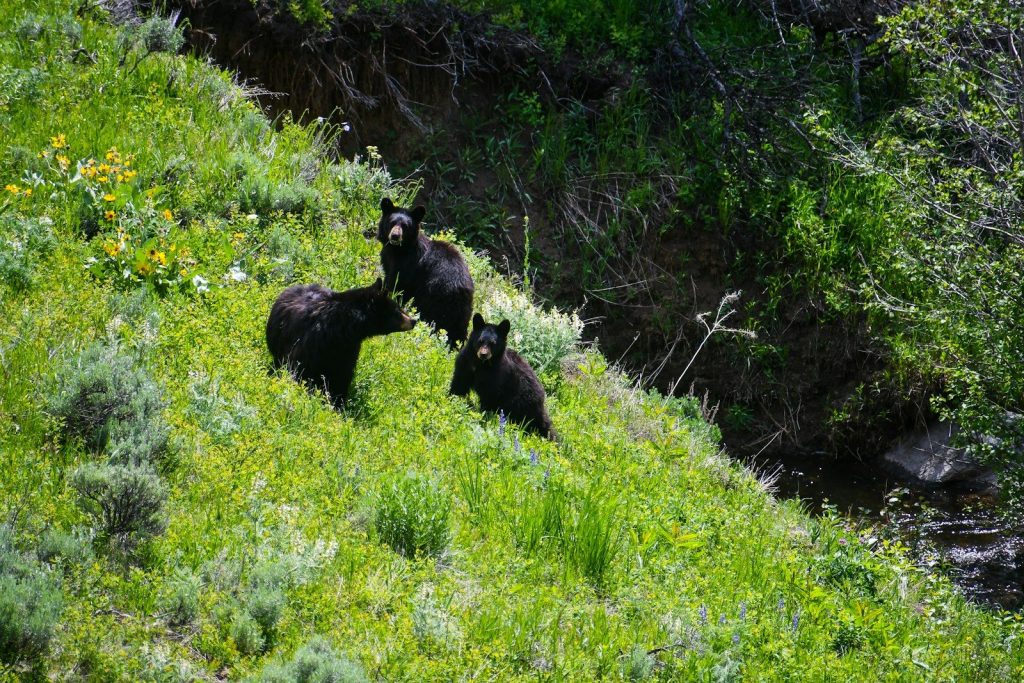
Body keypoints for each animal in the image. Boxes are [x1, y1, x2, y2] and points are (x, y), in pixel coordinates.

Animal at [266, 278, 416, 407]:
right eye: (396, 310)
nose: (413, 320)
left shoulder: (347, 350)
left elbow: (342, 376)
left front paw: (337, 404)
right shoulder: (311, 346)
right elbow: (301, 370)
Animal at [378, 197, 474, 348]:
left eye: (405, 226)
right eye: (392, 222)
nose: (395, 236)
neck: (399, 250)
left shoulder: (407, 267)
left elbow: (396, 285)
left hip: (432, 295)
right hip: (463, 311)